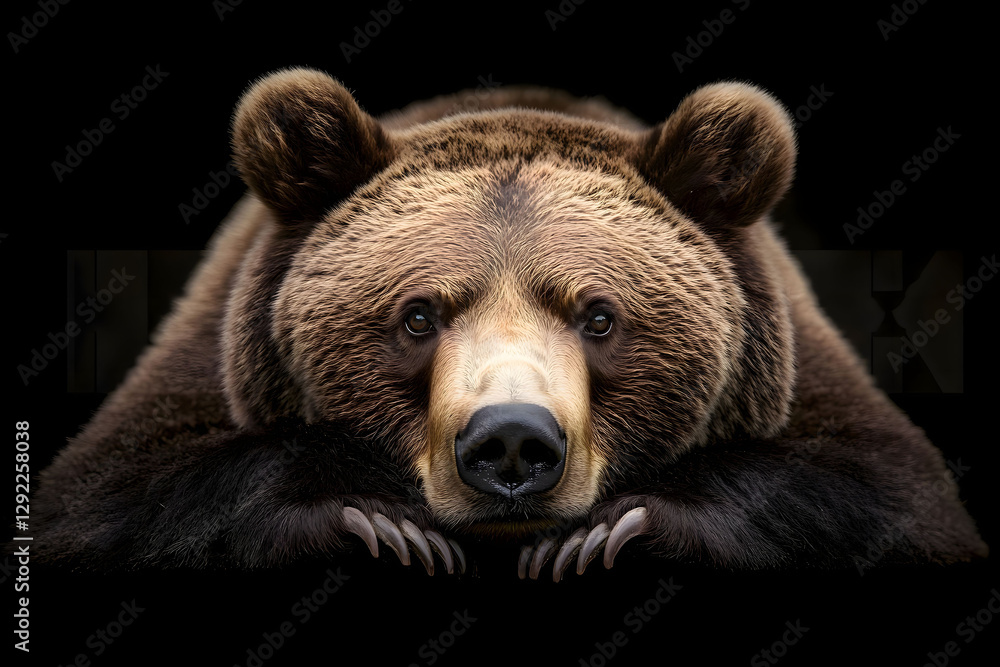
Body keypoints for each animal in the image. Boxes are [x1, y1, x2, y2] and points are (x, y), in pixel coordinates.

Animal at [32, 68, 986, 580]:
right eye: (418, 314)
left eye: (599, 315)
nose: (513, 441)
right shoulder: (207, 355)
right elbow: (108, 498)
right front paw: (382, 517)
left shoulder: (805, 374)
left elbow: (893, 493)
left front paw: (607, 531)